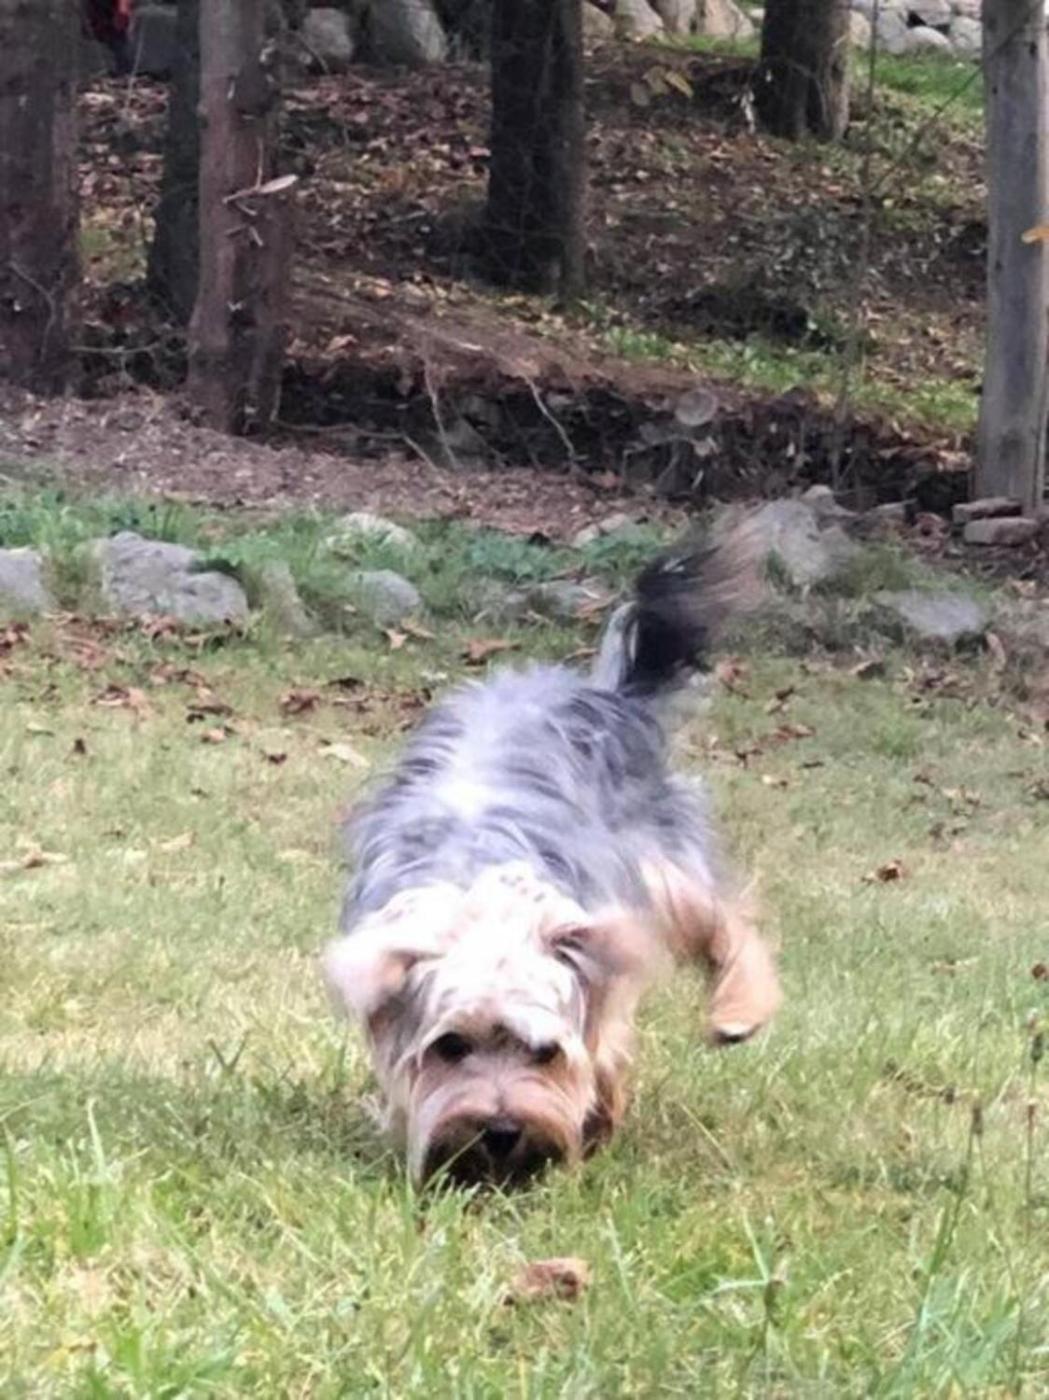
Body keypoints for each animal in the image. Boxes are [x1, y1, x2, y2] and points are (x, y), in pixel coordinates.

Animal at [324, 522, 782, 1186]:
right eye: (450, 1047)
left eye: (543, 1052)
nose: (501, 1131)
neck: (480, 896)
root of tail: (601, 693)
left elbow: (605, 1043)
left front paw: (595, 1120)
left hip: (658, 860)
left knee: (721, 918)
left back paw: (739, 1010)